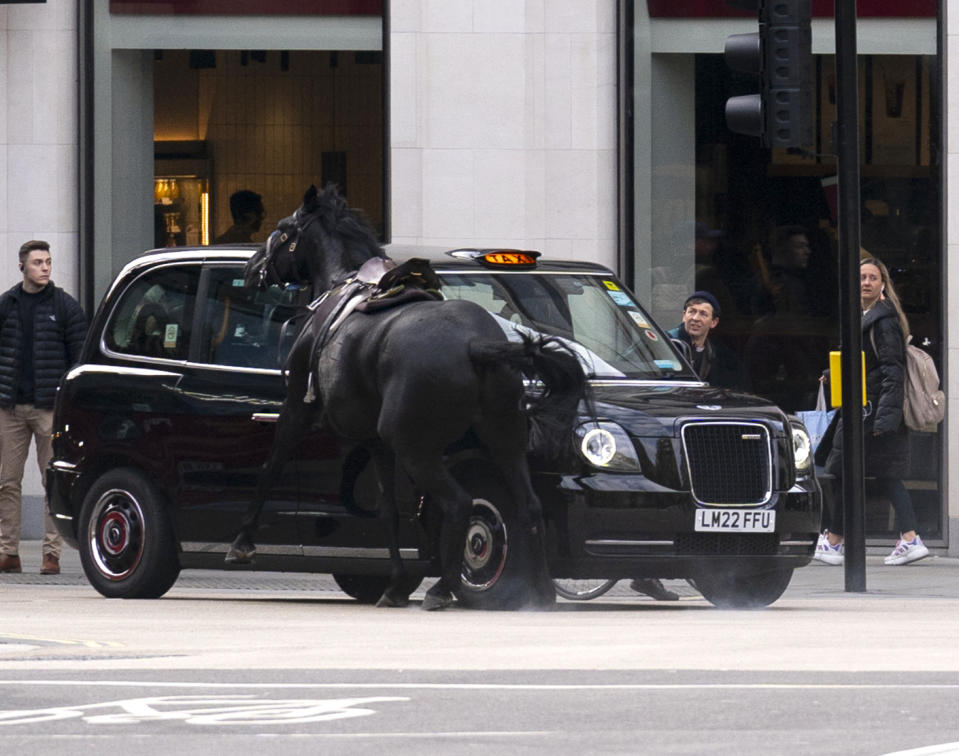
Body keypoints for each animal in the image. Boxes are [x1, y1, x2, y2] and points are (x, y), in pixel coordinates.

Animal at [227, 186, 584, 612]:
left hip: (417, 448)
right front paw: (395, 584)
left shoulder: (298, 409)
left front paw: (241, 542)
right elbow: (389, 512)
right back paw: (541, 591)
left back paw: (443, 588)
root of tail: (475, 345)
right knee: (529, 505)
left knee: (461, 504)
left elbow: (271, 467)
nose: (251, 268)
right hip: (504, 440)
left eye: (282, 229)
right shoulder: (376, 441)